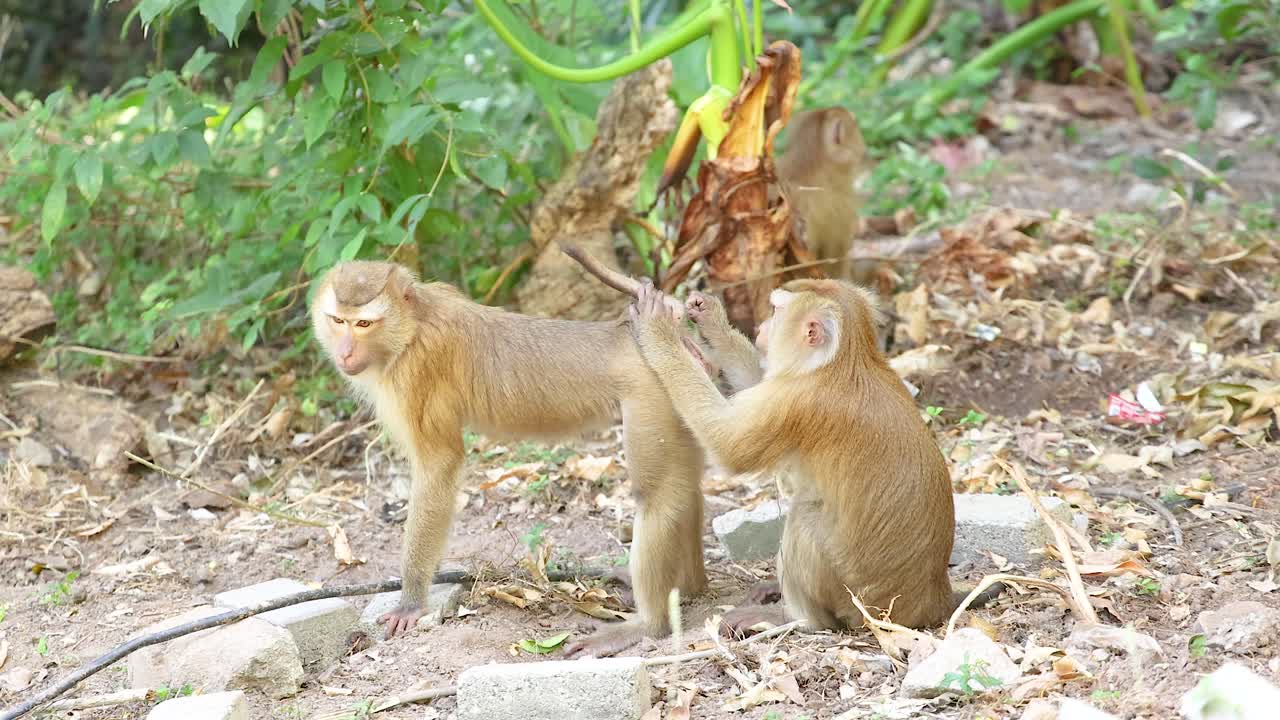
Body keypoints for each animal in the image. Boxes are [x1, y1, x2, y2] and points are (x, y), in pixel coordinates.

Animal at [311, 259, 714, 657]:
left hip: (651, 394)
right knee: (685, 489)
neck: (413, 325)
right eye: (338, 320)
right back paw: (690, 586)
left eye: (363, 324)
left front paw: (411, 600)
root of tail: (634, 337)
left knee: (658, 497)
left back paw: (648, 625)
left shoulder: (415, 375)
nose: (344, 352)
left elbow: (440, 464)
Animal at [625, 278, 997, 636]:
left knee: (804, 516)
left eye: (775, 311)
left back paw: (801, 621)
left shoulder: (797, 401)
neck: (845, 361)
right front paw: (711, 320)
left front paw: (658, 329)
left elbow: (729, 445)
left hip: (859, 601)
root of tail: (933, 598)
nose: (761, 326)